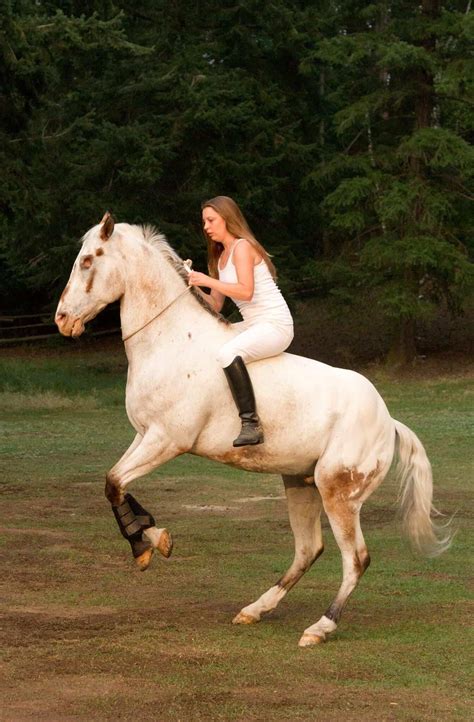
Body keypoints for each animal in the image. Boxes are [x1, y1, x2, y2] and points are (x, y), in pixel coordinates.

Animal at [55, 212, 450, 647]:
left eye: (88, 260)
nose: (62, 320)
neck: (170, 341)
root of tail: (388, 421)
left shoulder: (167, 440)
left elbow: (115, 483)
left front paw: (151, 541)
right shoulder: (144, 436)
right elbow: (114, 482)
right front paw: (148, 541)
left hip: (338, 492)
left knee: (355, 559)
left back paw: (319, 628)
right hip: (300, 482)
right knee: (308, 549)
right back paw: (255, 610)